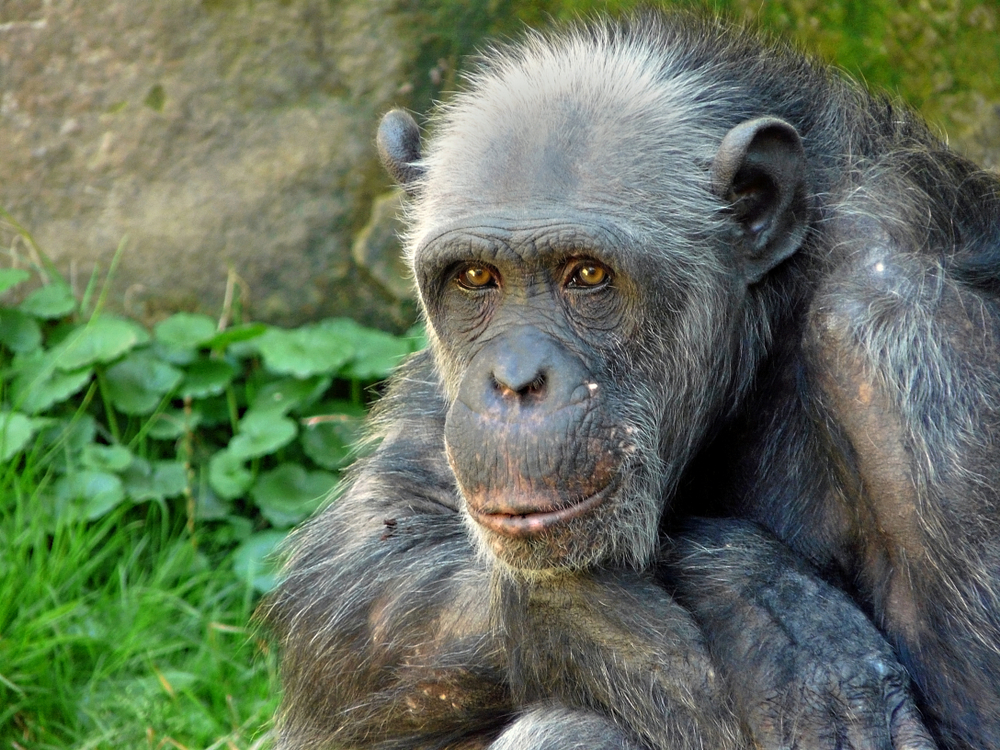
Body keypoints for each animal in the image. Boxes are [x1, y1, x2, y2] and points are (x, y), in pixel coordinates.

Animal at [262, 10, 1000, 750]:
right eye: (475, 277)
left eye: (588, 274)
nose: (515, 379)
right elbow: (370, 556)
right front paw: (761, 611)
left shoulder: (915, 358)